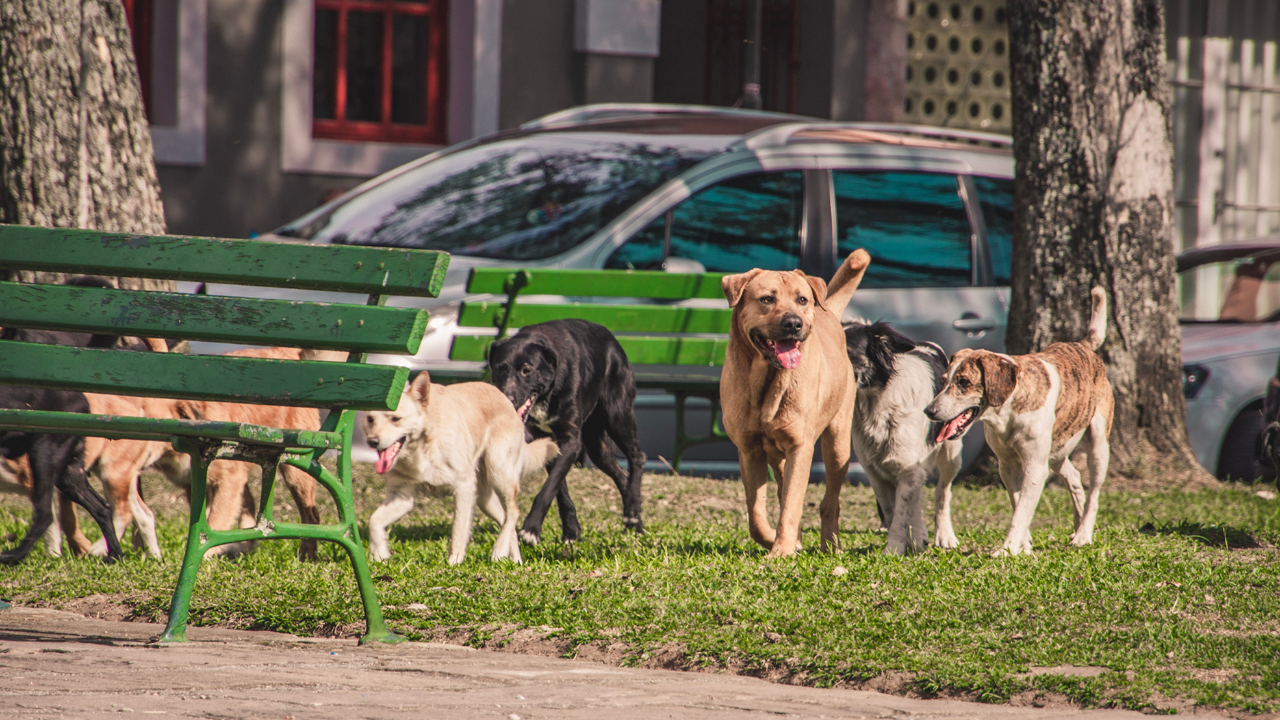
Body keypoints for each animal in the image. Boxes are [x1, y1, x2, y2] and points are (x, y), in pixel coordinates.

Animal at [363, 371, 558, 563]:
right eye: (370, 419)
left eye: (396, 419)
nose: (372, 442)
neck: (422, 446)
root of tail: (505, 399)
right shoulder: (402, 496)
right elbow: (374, 520)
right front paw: (379, 553)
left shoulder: (464, 487)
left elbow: (458, 529)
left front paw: (453, 563)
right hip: (485, 499)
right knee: (505, 518)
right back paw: (514, 560)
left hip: (499, 474)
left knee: (513, 513)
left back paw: (499, 551)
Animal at [483, 316, 645, 540]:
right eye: (499, 369)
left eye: (527, 370)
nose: (507, 399)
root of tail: (614, 341)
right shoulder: (549, 444)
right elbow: (559, 490)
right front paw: (571, 530)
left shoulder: (570, 442)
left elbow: (548, 488)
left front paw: (531, 528)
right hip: (596, 446)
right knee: (621, 475)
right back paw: (634, 519)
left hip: (618, 417)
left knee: (638, 457)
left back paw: (632, 509)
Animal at [721, 249, 870, 558]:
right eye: (767, 299)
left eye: (802, 299)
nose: (793, 323)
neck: (767, 382)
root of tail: (829, 314)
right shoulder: (749, 450)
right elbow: (756, 512)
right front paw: (773, 539)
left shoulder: (800, 448)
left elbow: (791, 503)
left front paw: (782, 549)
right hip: (778, 454)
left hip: (837, 444)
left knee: (830, 502)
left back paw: (831, 545)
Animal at [926, 285, 1116, 556]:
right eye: (943, 381)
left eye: (963, 382)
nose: (929, 411)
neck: (1007, 413)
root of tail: (1083, 345)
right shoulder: (1007, 465)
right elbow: (1018, 504)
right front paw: (1023, 545)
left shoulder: (1034, 467)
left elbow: (1021, 511)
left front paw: (1006, 550)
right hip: (1056, 450)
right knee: (1074, 477)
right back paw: (1077, 526)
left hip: (1098, 444)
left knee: (1095, 492)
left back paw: (1083, 534)